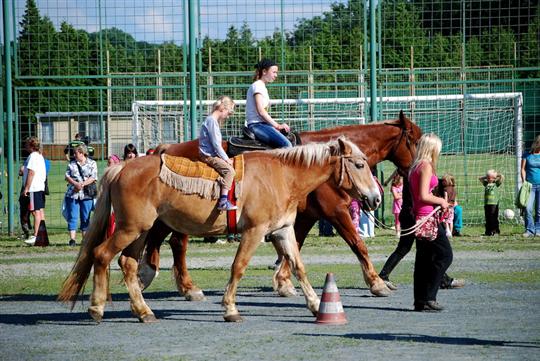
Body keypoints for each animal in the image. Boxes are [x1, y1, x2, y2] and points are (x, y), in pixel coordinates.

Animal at [58, 137, 380, 320]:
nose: (376, 198)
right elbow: (238, 267)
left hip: (140, 231)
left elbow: (298, 266)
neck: (282, 175)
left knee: (127, 263)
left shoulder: (283, 230)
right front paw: (230, 309)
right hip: (130, 228)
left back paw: (144, 311)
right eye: (359, 165)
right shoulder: (254, 232)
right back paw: (97, 308)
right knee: (102, 255)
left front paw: (315, 304)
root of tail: (123, 167)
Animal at [138, 109, 422, 298]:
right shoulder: (335, 211)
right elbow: (358, 245)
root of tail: (165, 149)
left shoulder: (305, 216)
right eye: (415, 141)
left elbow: (294, 245)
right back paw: (178, 284)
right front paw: (377, 283)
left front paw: (284, 281)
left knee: (164, 239)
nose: (418, 169)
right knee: (175, 243)